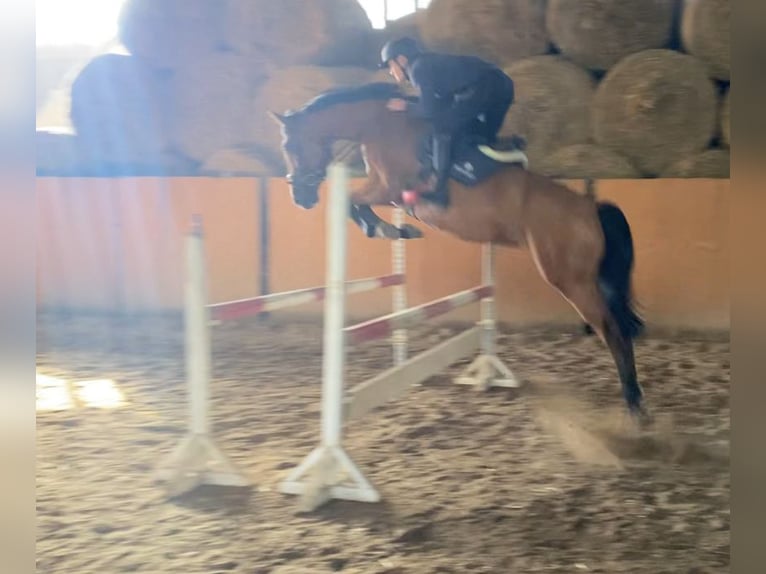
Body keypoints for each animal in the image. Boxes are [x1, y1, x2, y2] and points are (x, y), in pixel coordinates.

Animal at [268, 81, 649, 423]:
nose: (300, 197)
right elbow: (359, 204)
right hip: (589, 280)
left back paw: (634, 408)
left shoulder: (390, 188)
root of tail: (590, 208)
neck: (379, 124)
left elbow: (351, 202)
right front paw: (398, 230)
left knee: (614, 331)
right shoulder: (387, 191)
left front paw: (387, 229)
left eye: (290, 144)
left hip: (571, 280)